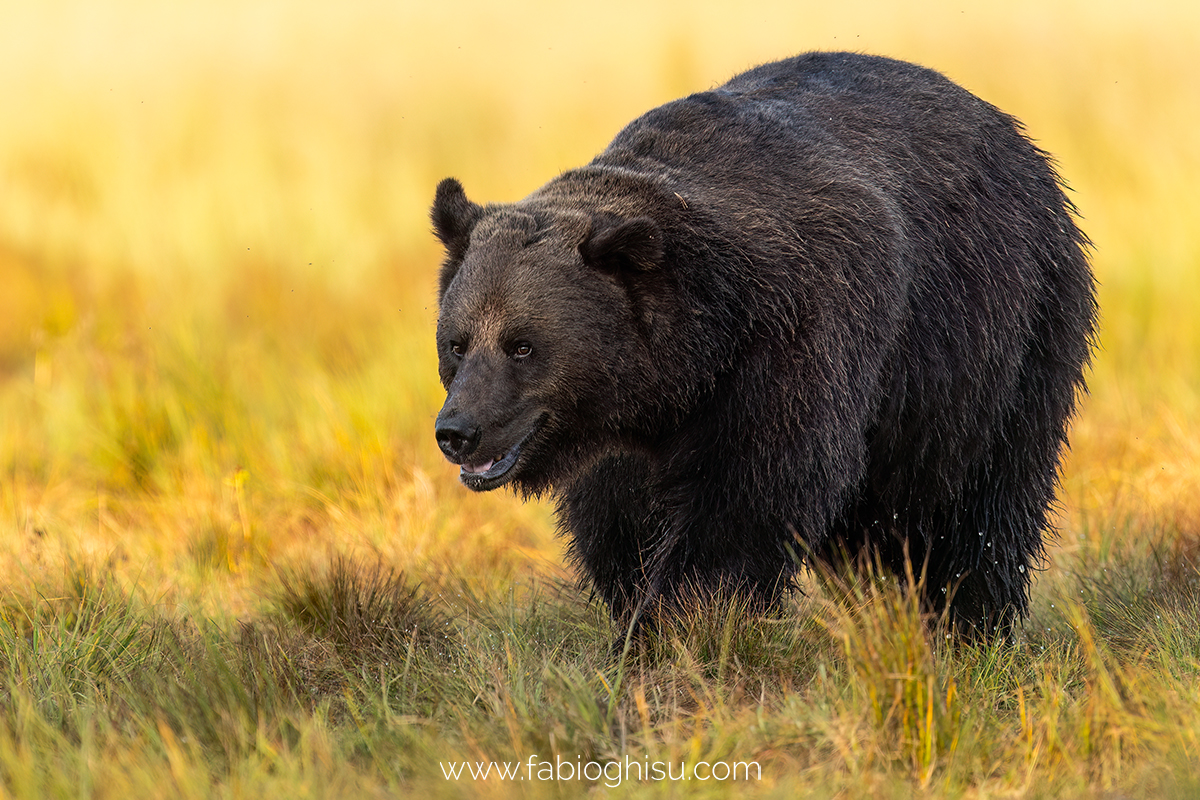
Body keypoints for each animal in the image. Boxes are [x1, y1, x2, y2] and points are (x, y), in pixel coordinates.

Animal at [429, 51, 1099, 638]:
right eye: (457, 344)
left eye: (521, 345)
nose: (457, 431)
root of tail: (1015, 136)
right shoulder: (625, 430)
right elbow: (619, 522)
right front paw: (636, 609)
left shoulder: (793, 336)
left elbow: (745, 500)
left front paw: (676, 625)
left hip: (995, 343)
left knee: (979, 504)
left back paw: (968, 626)